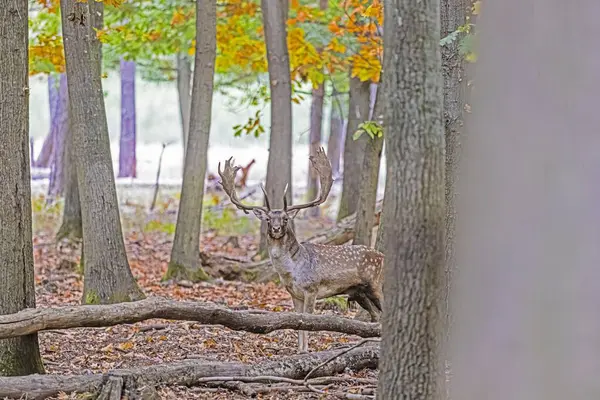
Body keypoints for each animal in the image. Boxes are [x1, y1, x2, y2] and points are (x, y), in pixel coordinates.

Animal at [219, 147, 384, 354]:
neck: (291, 271)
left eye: (285, 219)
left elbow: (308, 322)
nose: (275, 229)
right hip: (359, 292)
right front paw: (299, 350)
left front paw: (305, 351)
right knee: (376, 316)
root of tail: (382, 256)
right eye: (268, 219)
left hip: (375, 284)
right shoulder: (294, 294)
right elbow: (297, 322)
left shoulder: (312, 289)